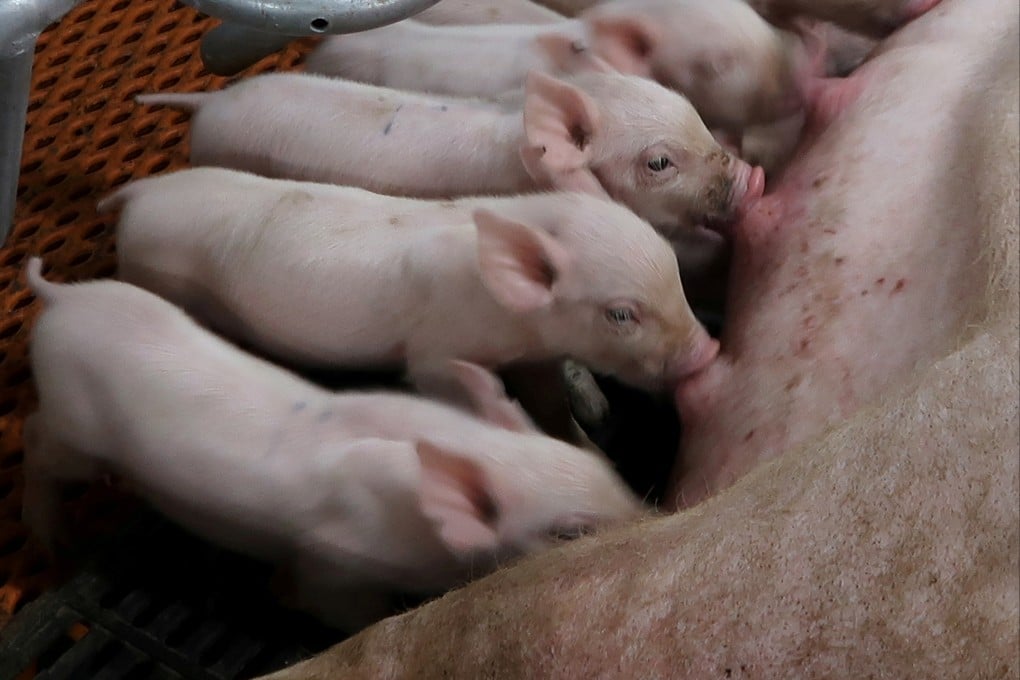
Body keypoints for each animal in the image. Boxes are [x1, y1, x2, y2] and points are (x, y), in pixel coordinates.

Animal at [21, 258, 644, 630]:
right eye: (570, 533)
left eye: (609, 474)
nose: (652, 521)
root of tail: (61, 300)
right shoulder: (335, 563)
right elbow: (338, 608)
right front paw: (286, 597)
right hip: (75, 430)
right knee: (36, 449)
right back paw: (56, 543)